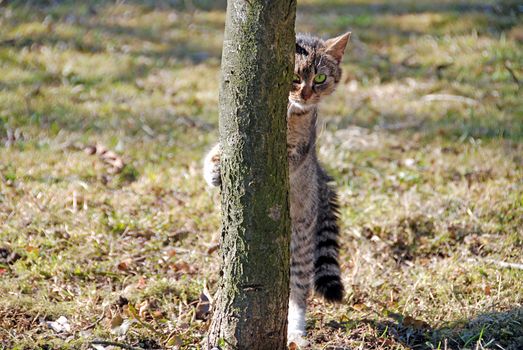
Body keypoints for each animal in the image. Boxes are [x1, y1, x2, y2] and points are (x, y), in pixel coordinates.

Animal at [205, 32, 352, 344]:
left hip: (301, 243)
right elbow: (221, 150)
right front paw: (213, 167)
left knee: (298, 293)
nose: (306, 95)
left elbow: (288, 156)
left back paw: (295, 330)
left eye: (320, 77)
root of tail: (319, 172)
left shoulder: (300, 148)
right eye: (294, 78)